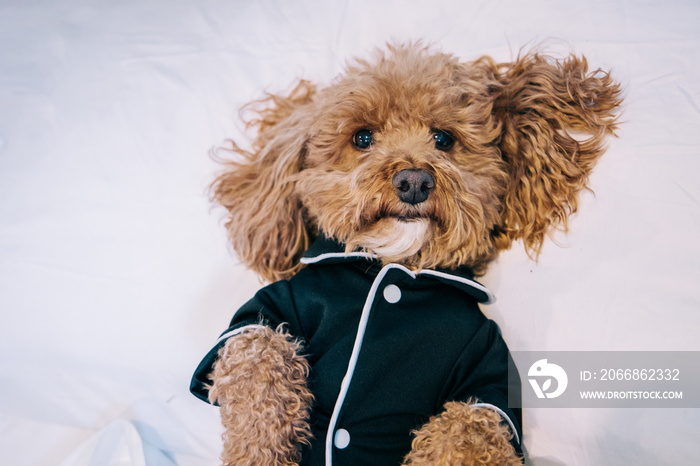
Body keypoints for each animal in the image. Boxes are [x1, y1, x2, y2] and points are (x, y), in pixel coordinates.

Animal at [189, 41, 620, 464]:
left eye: (443, 139)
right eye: (363, 138)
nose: (414, 181)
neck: (392, 268)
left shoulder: (486, 363)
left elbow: (472, 427)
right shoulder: (270, 310)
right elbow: (257, 356)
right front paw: (258, 450)